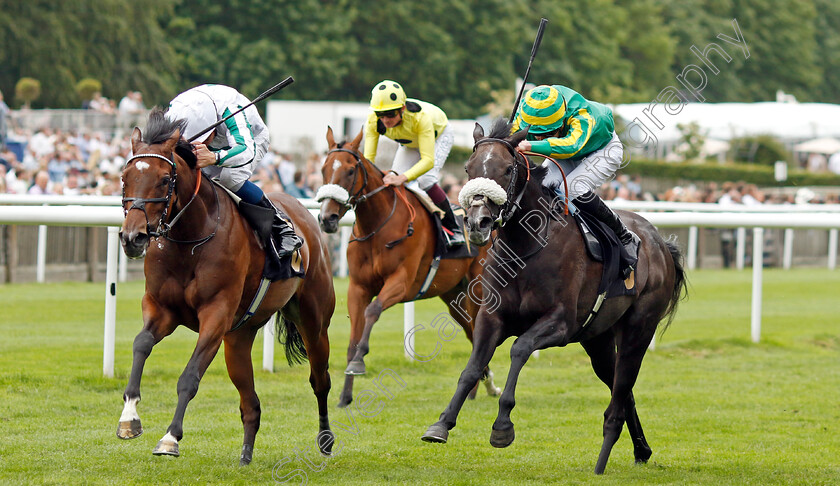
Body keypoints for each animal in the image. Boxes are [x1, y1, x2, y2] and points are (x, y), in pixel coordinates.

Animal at [118, 108, 334, 466]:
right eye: (125, 177)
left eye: (164, 179)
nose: (133, 237)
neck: (189, 239)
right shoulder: (162, 308)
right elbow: (140, 344)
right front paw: (129, 418)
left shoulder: (216, 315)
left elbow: (190, 377)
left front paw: (170, 438)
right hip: (239, 337)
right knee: (251, 403)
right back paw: (245, 456)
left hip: (313, 321)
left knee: (320, 380)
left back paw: (326, 439)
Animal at [316, 127, 498, 408]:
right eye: (324, 169)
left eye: (350, 170)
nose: (327, 218)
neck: (377, 227)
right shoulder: (358, 287)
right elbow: (353, 337)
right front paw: (345, 395)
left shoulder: (401, 282)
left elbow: (373, 310)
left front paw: (359, 362)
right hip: (454, 295)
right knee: (470, 330)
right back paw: (480, 386)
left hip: (477, 290)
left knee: (479, 330)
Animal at [424, 120, 684, 474]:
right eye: (468, 167)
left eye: (507, 169)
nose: (477, 222)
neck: (526, 247)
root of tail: (659, 242)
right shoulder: (492, 318)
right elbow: (472, 368)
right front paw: (441, 424)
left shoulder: (559, 323)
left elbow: (519, 350)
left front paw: (502, 427)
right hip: (598, 339)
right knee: (622, 388)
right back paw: (641, 449)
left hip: (639, 329)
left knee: (621, 389)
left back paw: (606, 459)